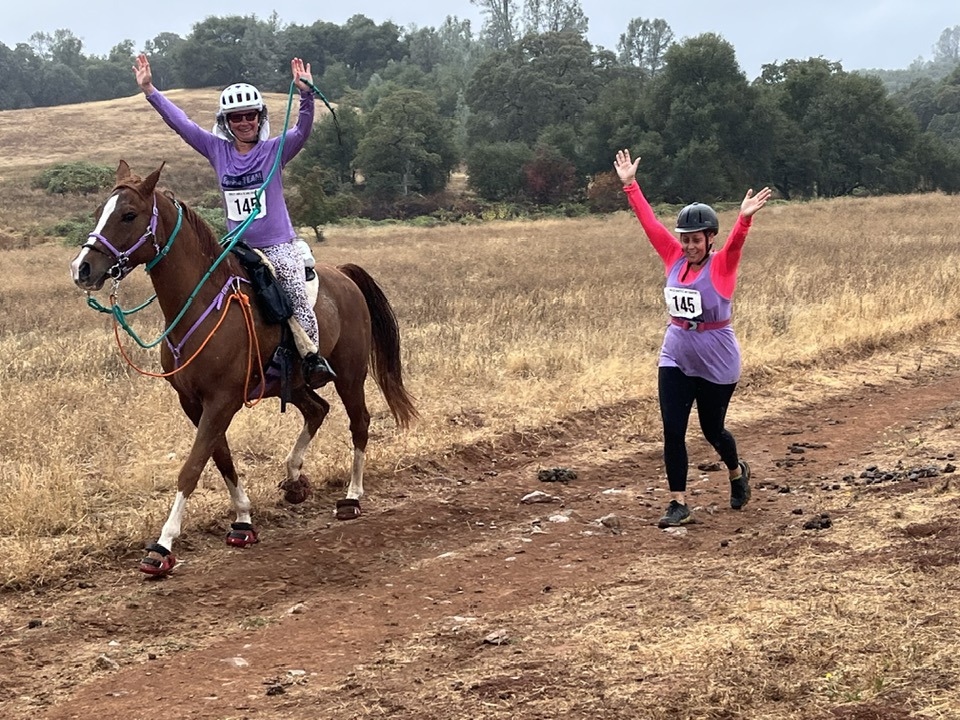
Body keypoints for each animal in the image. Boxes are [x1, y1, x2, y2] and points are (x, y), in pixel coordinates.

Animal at [71, 160, 416, 576]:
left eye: (128, 215)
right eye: (98, 212)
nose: (82, 268)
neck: (200, 304)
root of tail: (345, 275)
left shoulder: (222, 400)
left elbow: (192, 466)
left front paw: (163, 544)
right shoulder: (194, 403)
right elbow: (220, 458)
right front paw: (243, 521)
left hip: (350, 375)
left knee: (359, 423)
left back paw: (351, 497)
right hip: (293, 383)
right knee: (317, 410)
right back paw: (294, 479)